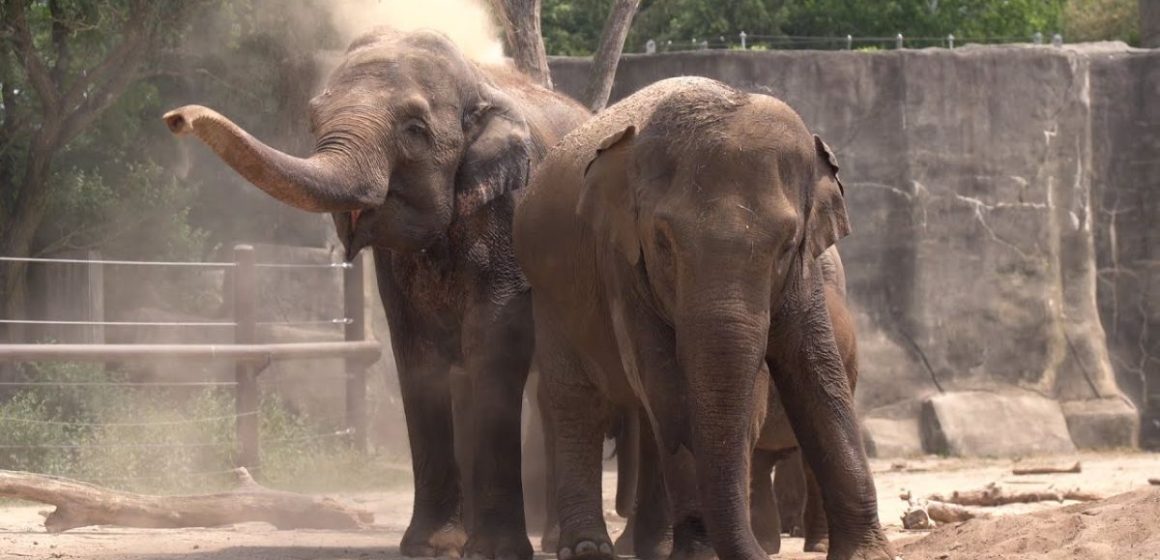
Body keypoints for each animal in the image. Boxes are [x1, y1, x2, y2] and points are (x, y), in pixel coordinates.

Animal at [163, 27, 589, 560]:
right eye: (312, 118)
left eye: (415, 129)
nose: (176, 118)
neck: (480, 82)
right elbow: (417, 356)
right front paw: (431, 548)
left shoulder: (509, 213)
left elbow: (493, 344)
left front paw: (493, 552)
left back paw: (553, 540)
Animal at [512, 75, 890, 560]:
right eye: (663, 243)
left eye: (787, 244)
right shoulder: (622, 263)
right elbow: (666, 381)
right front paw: (700, 550)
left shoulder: (805, 274)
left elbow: (817, 373)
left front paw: (868, 553)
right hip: (551, 298)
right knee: (578, 402)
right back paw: (590, 547)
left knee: (646, 418)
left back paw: (650, 546)